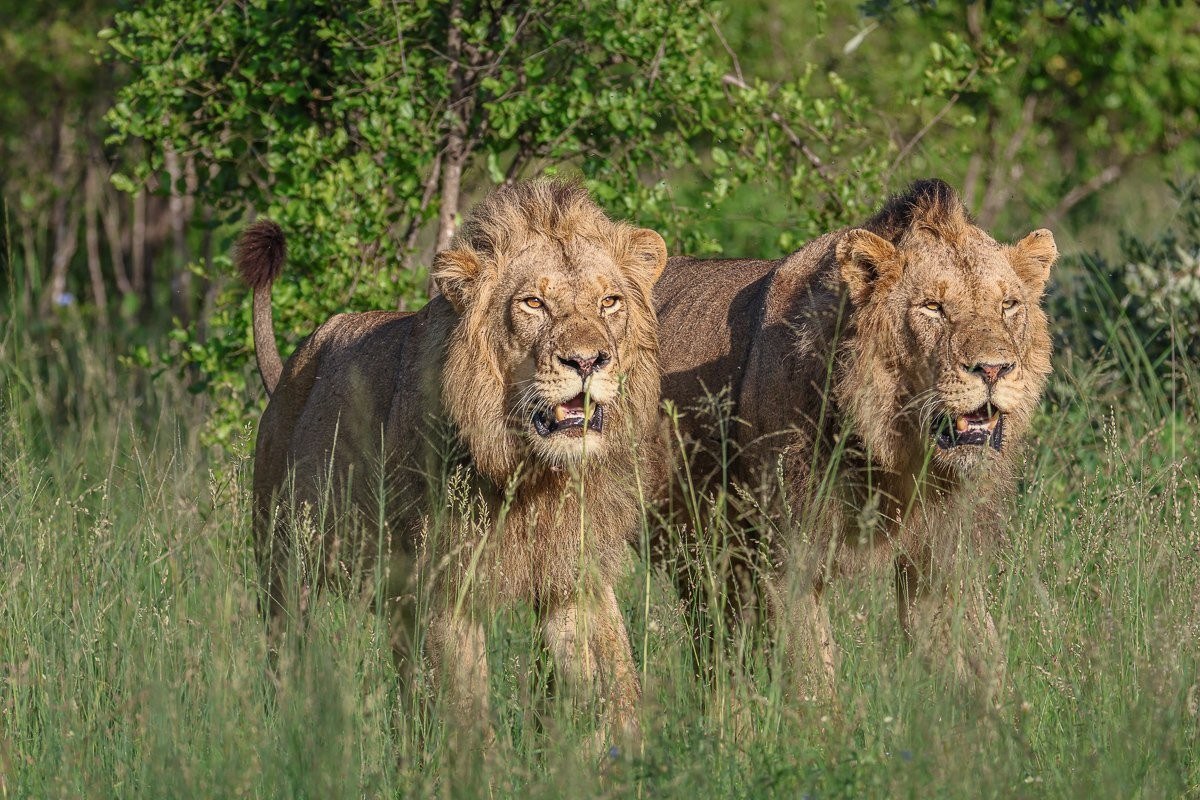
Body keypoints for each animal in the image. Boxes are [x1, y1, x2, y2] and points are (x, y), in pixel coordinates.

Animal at [238, 180, 668, 744]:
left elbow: (616, 678)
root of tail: (289, 368)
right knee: (282, 655)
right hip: (286, 567)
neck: (533, 474)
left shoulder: (575, 574)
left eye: (610, 302)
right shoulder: (448, 581)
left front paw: (628, 753)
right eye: (533, 303)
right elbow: (467, 711)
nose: (588, 361)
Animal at [653, 179, 1057, 700]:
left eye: (1009, 306)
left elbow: (980, 662)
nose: (994, 369)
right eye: (933, 307)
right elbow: (813, 683)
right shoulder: (788, 558)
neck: (898, 455)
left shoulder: (943, 558)